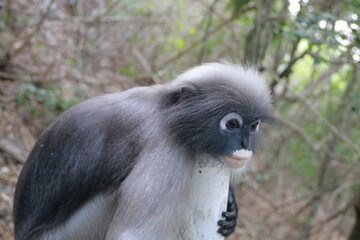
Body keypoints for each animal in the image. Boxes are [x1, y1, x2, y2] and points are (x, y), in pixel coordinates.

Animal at [13, 62, 272, 240]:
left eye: (253, 126)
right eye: (233, 124)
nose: (245, 144)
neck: (166, 112)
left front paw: (232, 206)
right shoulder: (166, 147)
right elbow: (132, 235)